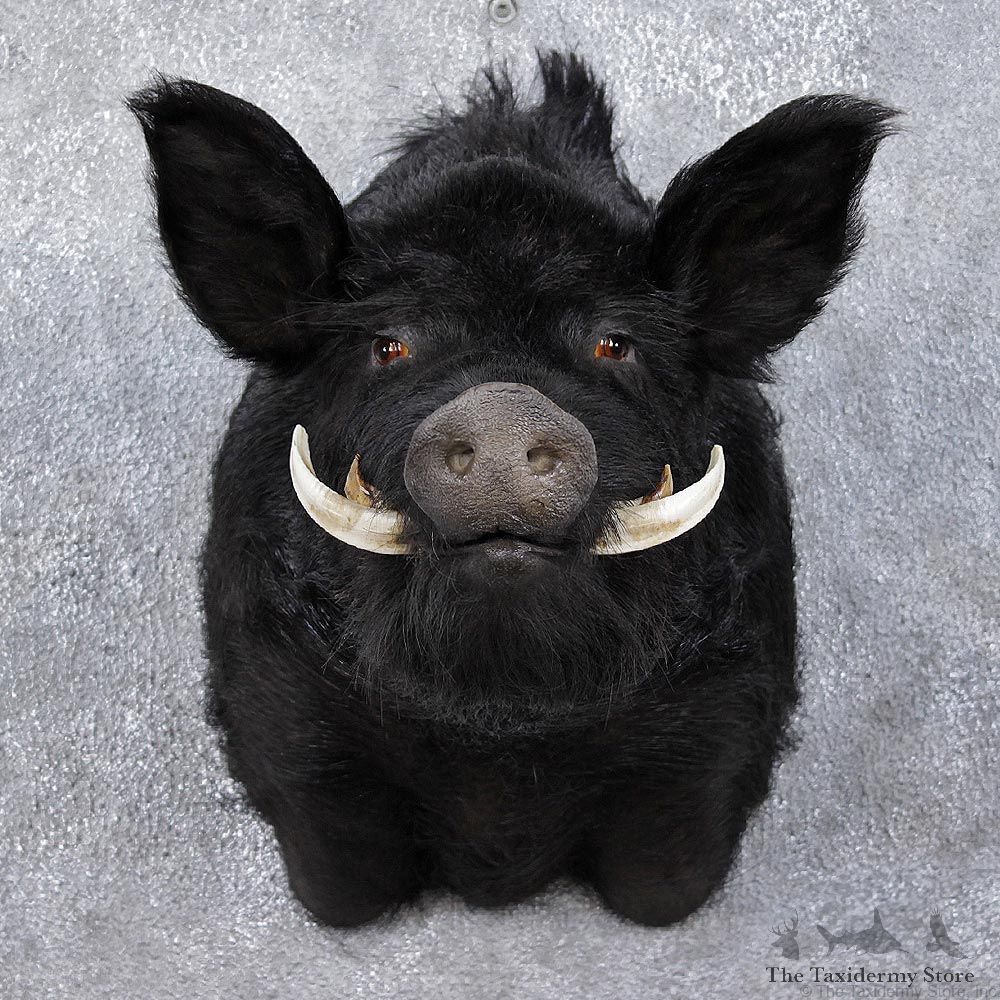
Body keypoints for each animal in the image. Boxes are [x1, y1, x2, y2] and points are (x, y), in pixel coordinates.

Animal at [127, 52, 896, 927]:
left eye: (614, 343)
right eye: (387, 345)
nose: (501, 406)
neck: (500, 744)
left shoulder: (720, 723)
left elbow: (662, 891)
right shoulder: (284, 716)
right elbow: (344, 892)